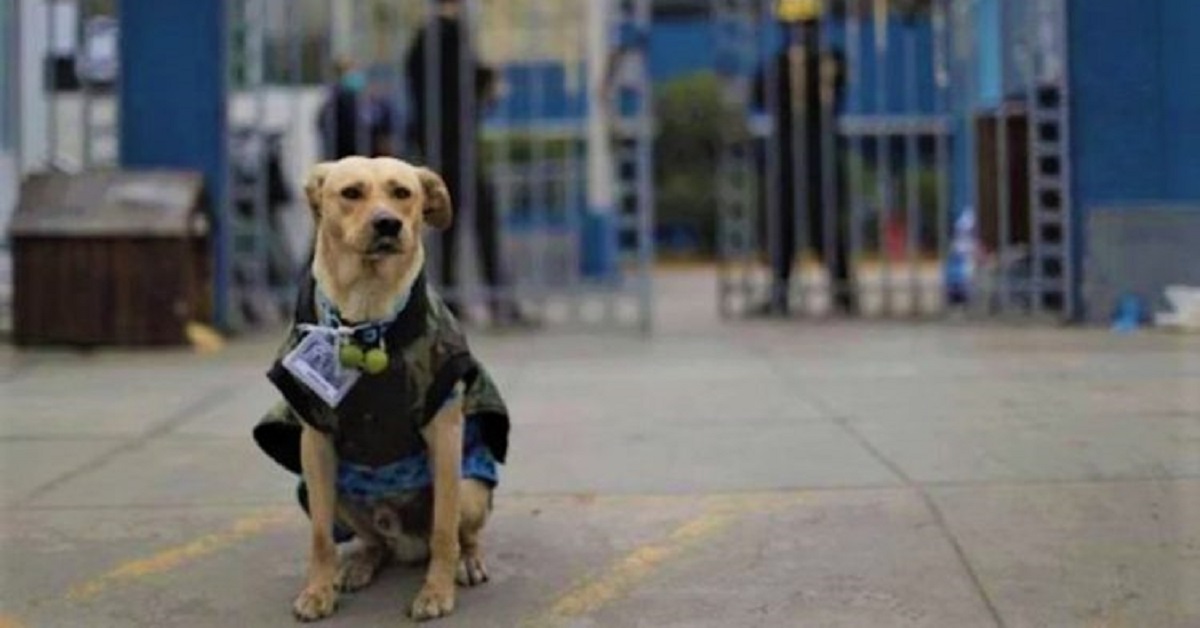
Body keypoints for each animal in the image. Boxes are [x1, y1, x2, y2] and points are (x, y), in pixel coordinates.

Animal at [253, 154, 511, 619]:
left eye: (402, 192)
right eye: (351, 193)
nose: (388, 224)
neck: (366, 318)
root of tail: (406, 542)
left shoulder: (445, 435)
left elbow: (444, 530)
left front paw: (436, 592)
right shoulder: (315, 443)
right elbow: (321, 538)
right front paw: (317, 592)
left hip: (468, 489)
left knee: (459, 533)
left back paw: (466, 562)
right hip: (329, 492)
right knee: (375, 543)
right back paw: (359, 564)